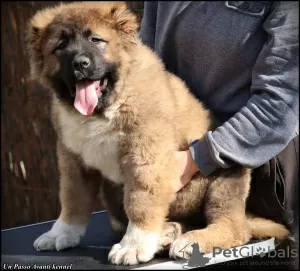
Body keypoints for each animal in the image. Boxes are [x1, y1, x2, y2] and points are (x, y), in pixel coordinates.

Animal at [27, 1, 290, 266]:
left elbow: (140, 201)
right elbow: (72, 198)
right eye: (60, 46)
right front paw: (61, 232)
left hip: (226, 176)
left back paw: (189, 241)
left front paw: (133, 246)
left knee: (233, 228)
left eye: (96, 40)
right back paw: (167, 234)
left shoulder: (145, 156)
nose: (80, 63)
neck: (105, 108)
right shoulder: (73, 158)